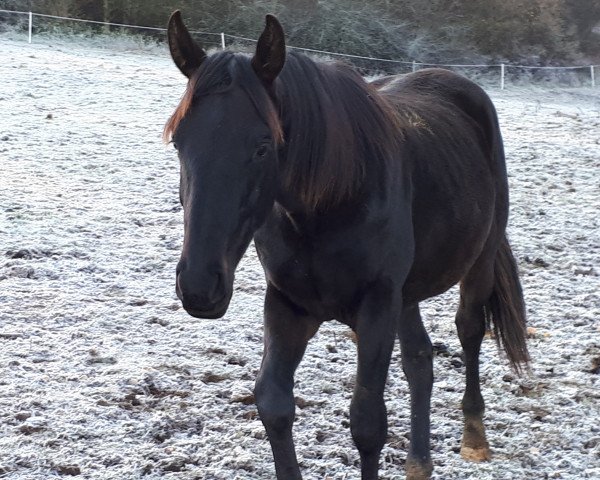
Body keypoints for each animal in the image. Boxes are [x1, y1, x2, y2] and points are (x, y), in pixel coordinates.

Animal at [164, 11, 528, 480]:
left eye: (263, 147)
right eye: (179, 141)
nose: (199, 286)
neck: (329, 203)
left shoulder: (376, 306)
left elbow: (368, 423)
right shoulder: (288, 304)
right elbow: (274, 404)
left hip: (476, 263)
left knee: (469, 330)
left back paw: (474, 437)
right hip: (407, 295)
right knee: (420, 358)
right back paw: (418, 461)